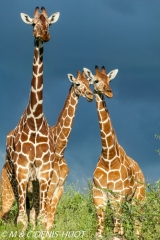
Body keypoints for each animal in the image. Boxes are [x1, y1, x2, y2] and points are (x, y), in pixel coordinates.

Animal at [0, 6, 59, 230]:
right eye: (33, 23)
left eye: (49, 23)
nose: (44, 34)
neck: (35, 119)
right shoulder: (22, 170)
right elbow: (21, 221)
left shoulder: (44, 172)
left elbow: (40, 219)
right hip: (12, 174)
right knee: (21, 209)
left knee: (33, 212)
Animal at [45, 70, 94, 229]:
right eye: (77, 83)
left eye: (90, 83)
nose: (90, 95)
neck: (60, 150)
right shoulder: (49, 186)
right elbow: (44, 219)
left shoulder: (60, 187)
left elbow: (50, 221)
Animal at [84, 66, 145, 240]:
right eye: (96, 80)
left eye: (109, 80)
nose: (109, 92)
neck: (108, 156)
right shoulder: (99, 195)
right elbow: (100, 232)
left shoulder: (118, 195)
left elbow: (116, 234)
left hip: (138, 199)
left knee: (137, 225)